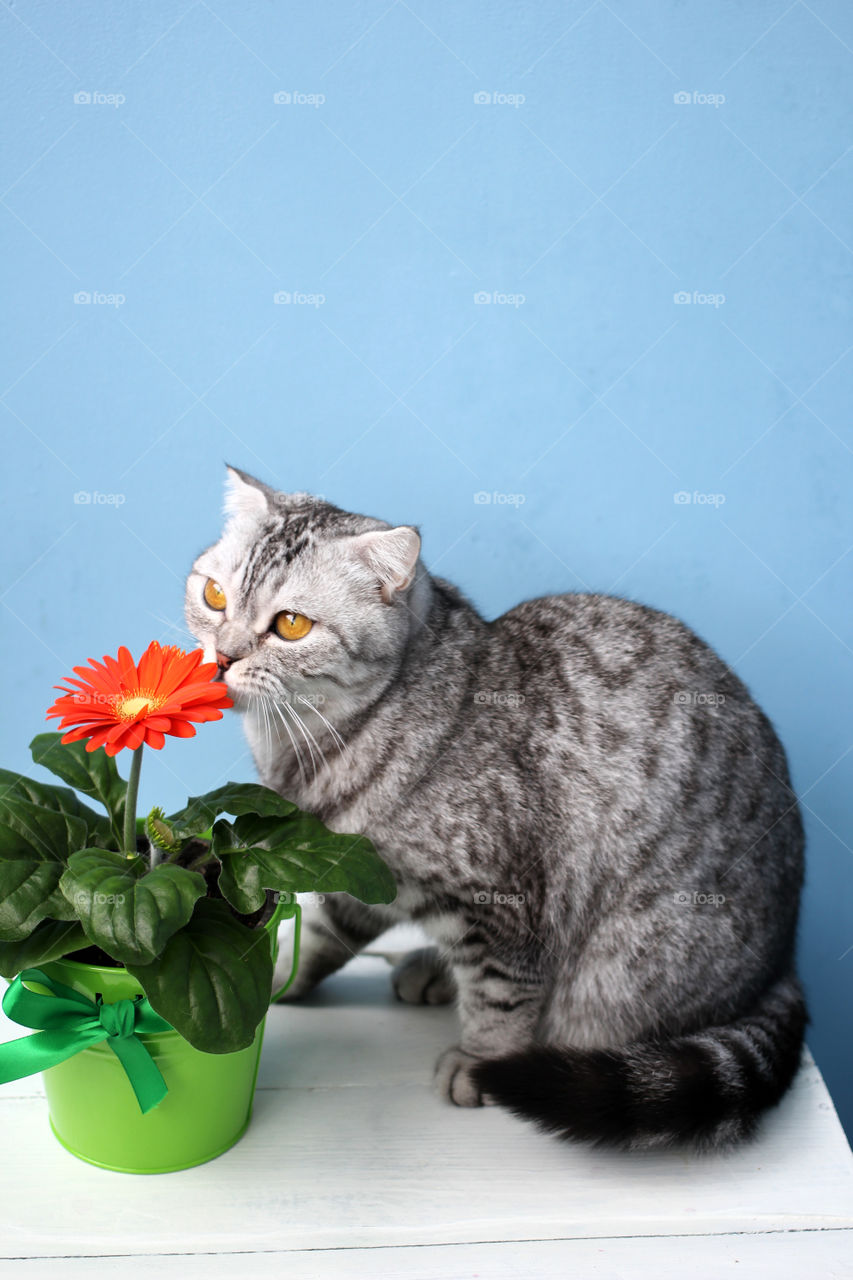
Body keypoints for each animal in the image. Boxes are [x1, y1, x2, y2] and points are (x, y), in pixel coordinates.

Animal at [184, 465, 804, 1157]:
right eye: (213, 595)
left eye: (291, 625)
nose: (223, 655)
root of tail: (784, 958)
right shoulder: (359, 870)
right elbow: (321, 935)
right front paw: (275, 978)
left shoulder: (507, 903)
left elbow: (502, 995)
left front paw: (482, 1062)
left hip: (626, 970)